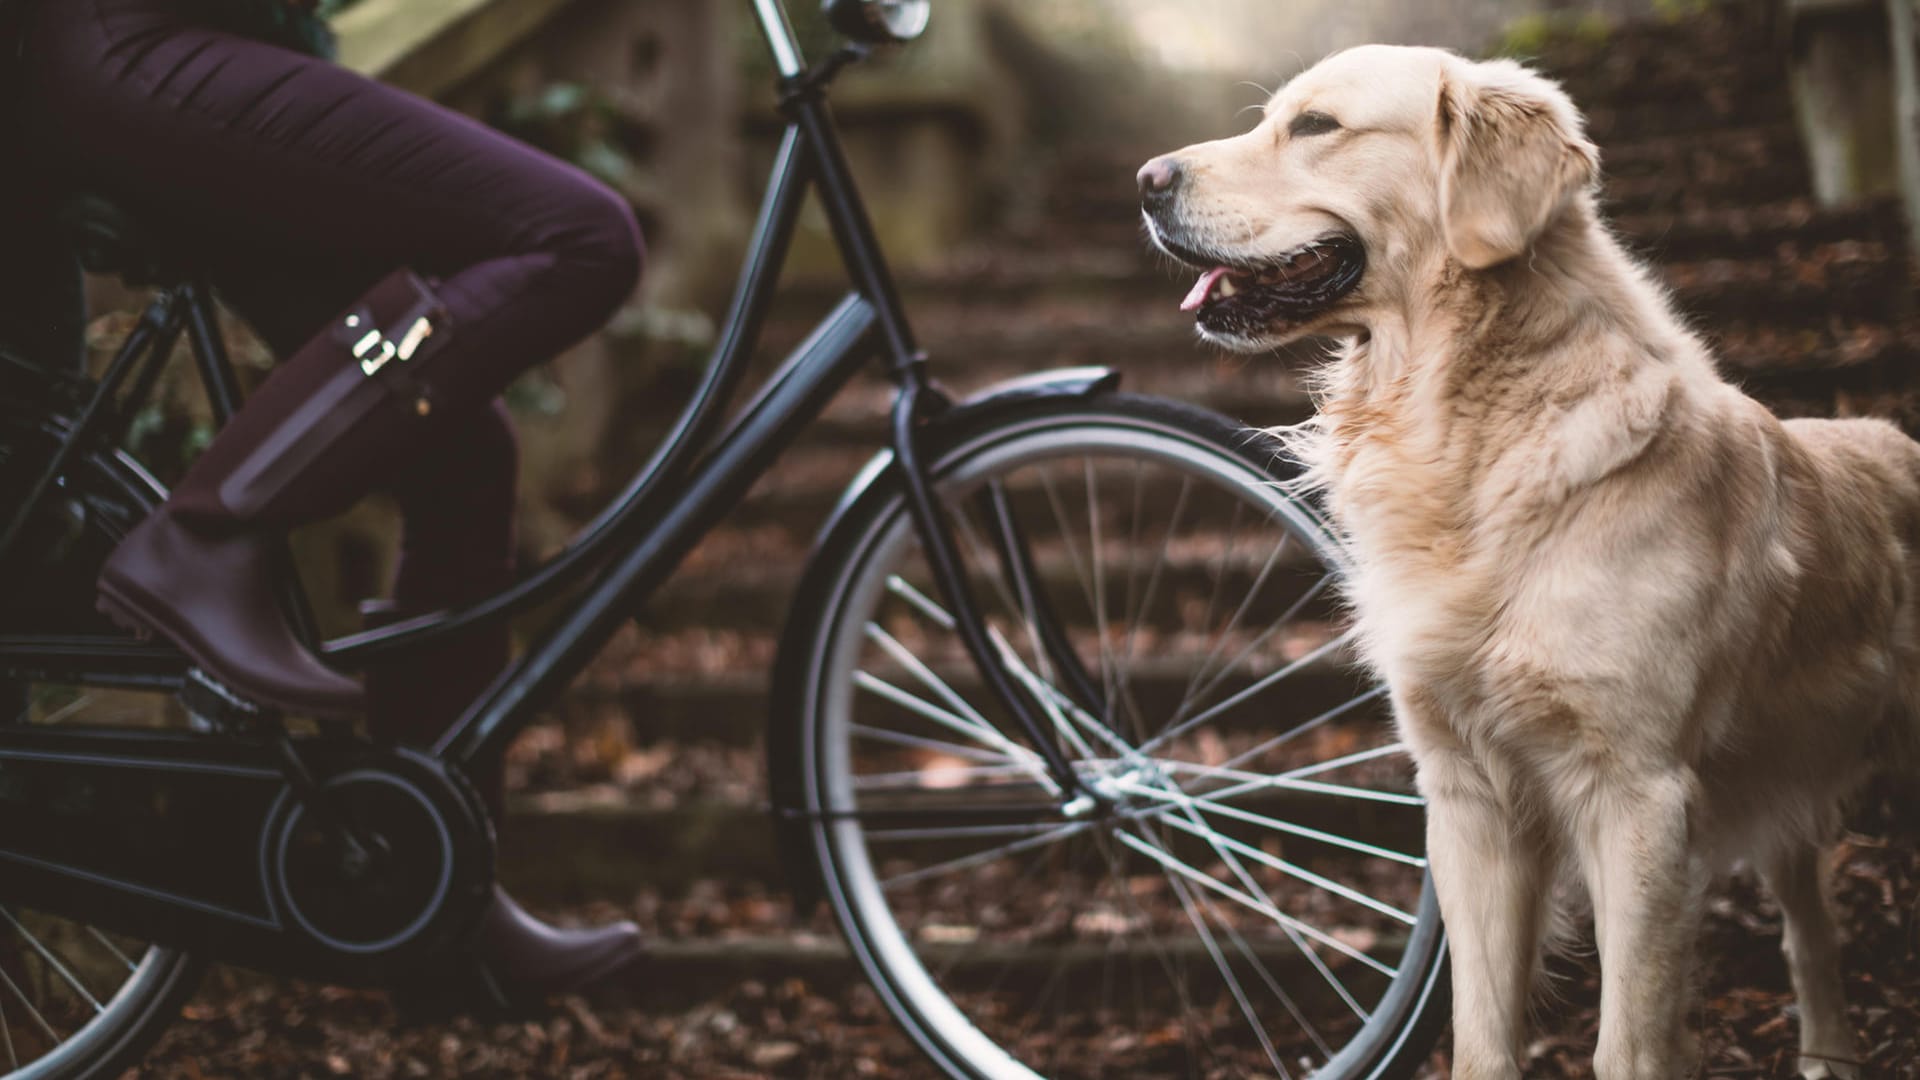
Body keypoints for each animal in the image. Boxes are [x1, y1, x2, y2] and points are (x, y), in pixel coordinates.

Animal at [1144, 44, 1912, 1076]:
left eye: (1315, 126)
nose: (1146, 181)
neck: (1468, 432)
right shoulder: (1469, 799)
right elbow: (1481, 1036)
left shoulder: (1637, 796)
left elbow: (1627, 1045)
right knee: (1810, 923)